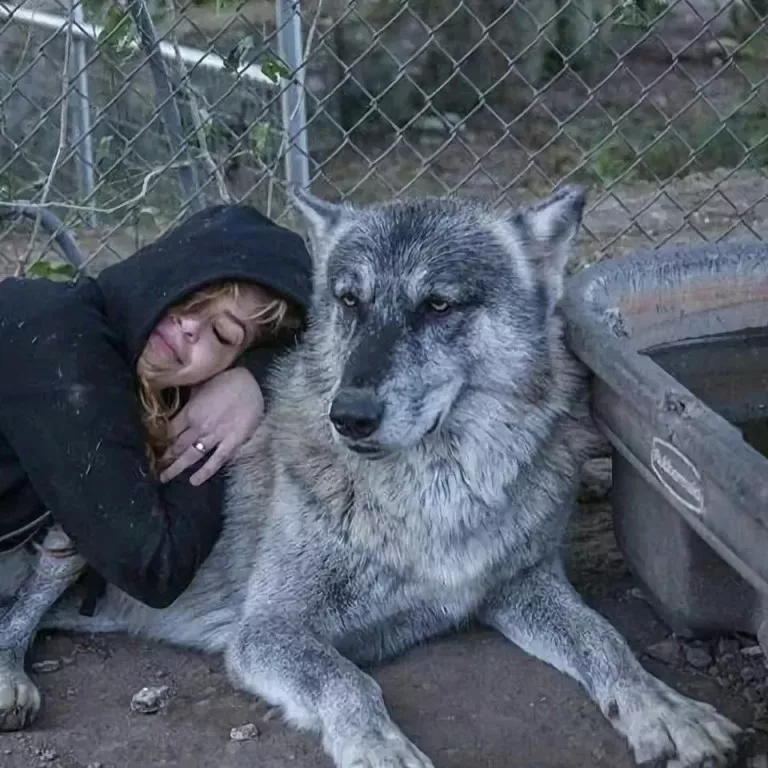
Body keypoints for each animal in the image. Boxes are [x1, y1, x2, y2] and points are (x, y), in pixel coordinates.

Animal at [0, 188, 740, 768]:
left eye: (438, 305)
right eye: (350, 301)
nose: (349, 415)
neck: (436, 496)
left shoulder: (517, 585)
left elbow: (605, 641)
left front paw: (665, 711)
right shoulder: (269, 631)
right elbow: (349, 682)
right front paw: (378, 747)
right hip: (75, 522)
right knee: (18, 610)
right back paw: (12, 677)